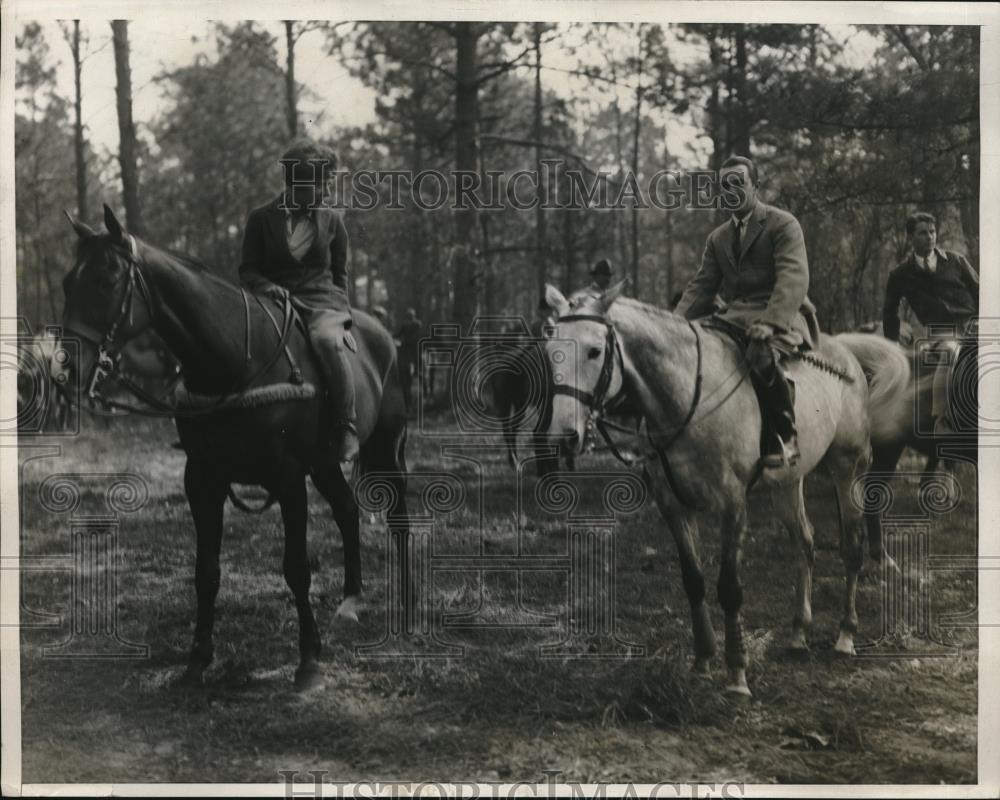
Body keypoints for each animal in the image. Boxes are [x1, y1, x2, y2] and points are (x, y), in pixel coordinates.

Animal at [52, 206, 406, 688]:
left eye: (107, 278)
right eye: (68, 281)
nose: (65, 370)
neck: (236, 359)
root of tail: (385, 335)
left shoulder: (288, 478)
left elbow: (297, 568)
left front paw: (308, 659)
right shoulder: (203, 477)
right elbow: (206, 572)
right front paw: (198, 659)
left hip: (388, 448)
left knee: (398, 514)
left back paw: (405, 598)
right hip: (325, 463)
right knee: (348, 511)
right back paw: (351, 601)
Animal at [544, 284, 912, 696]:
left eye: (594, 351)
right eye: (551, 349)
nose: (564, 436)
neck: (686, 395)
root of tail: (843, 348)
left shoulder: (732, 504)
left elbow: (729, 588)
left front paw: (736, 673)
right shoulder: (673, 505)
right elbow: (693, 581)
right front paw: (703, 659)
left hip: (848, 468)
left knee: (851, 548)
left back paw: (846, 635)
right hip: (788, 483)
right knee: (805, 542)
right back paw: (799, 631)